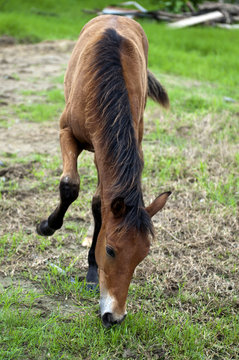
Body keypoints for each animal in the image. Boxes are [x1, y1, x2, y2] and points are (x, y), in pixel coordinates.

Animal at [37, 14, 170, 328]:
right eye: (110, 249)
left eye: (142, 256)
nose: (115, 317)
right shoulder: (66, 133)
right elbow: (70, 185)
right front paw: (47, 226)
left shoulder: (107, 152)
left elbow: (99, 204)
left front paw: (91, 270)